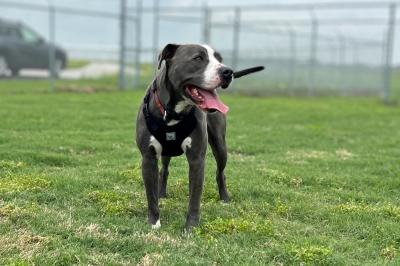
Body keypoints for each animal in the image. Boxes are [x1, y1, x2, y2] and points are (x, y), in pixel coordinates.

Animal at [136, 43, 233, 231]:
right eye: (198, 58)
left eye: (219, 59)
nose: (228, 71)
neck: (174, 112)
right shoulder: (148, 157)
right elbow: (150, 195)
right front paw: (154, 222)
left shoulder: (197, 159)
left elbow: (194, 198)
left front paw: (191, 226)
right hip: (165, 153)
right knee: (164, 170)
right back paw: (161, 193)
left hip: (220, 145)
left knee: (220, 172)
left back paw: (224, 197)